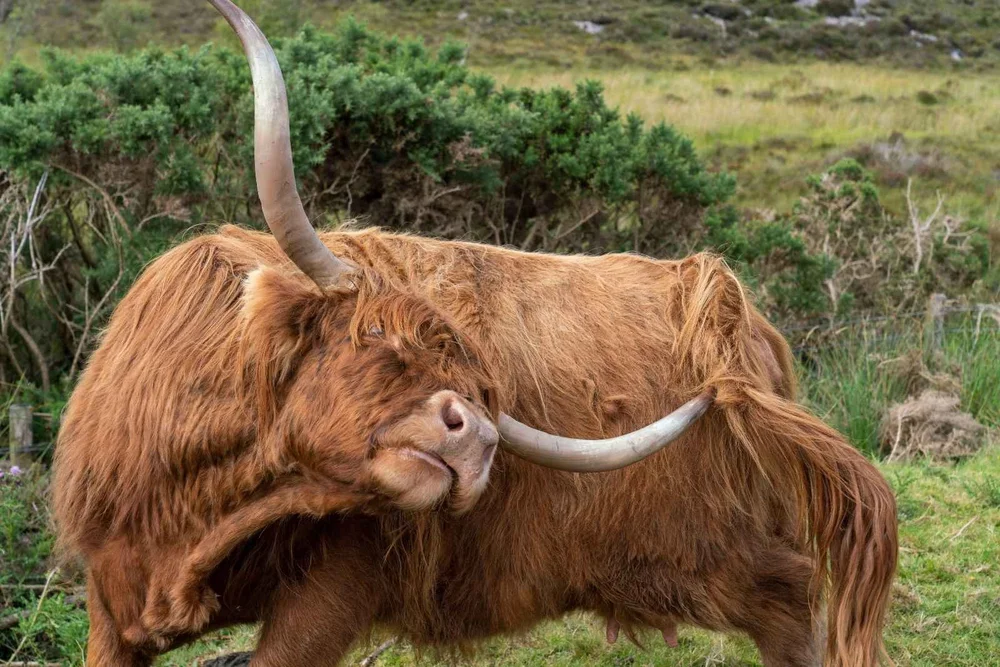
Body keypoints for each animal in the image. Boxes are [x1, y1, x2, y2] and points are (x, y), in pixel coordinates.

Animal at [51, 1, 898, 666]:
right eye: (375, 334)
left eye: (482, 385)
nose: (480, 437)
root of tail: (722, 303)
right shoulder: (109, 602)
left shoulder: (329, 594)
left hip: (728, 553)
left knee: (794, 605)